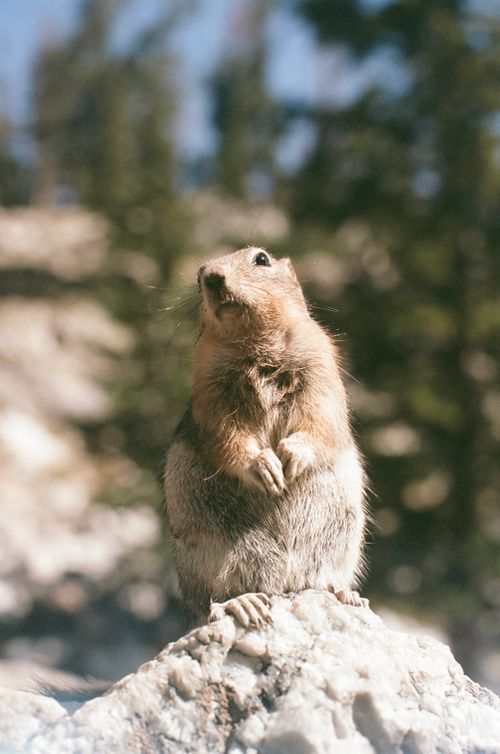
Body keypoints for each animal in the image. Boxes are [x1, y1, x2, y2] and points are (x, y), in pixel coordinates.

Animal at [164, 247, 368, 627]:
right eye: (199, 274)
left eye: (261, 259)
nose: (212, 277)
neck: (257, 344)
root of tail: (283, 583)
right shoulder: (210, 390)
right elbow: (227, 434)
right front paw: (267, 468)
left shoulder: (321, 367)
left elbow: (319, 417)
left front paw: (291, 458)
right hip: (205, 553)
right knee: (212, 600)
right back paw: (245, 605)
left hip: (344, 541)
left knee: (324, 577)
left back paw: (345, 594)